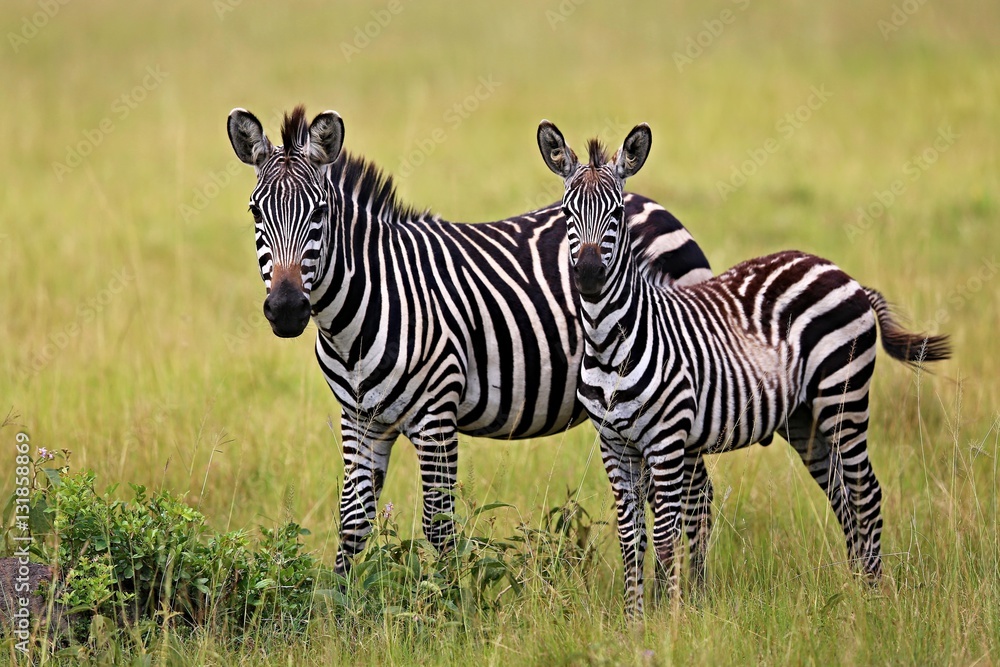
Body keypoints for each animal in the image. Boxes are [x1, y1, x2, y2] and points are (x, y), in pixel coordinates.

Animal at [226, 106, 713, 574]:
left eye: (320, 213)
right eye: (255, 213)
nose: (287, 309)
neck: (360, 315)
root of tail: (651, 203)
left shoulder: (436, 415)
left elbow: (438, 526)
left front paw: (447, 598)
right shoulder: (360, 419)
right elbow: (352, 521)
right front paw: (336, 601)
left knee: (697, 499)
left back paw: (693, 592)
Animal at [536, 119, 951, 616]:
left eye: (617, 212)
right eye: (566, 214)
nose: (589, 275)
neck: (609, 345)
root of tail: (842, 273)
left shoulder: (666, 441)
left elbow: (666, 536)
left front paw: (671, 617)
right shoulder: (614, 444)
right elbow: (629, 538)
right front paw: (634, 619)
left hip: (843, 396)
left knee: (865, 492)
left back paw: (872, 596)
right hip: (804, 417)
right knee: (842, 495)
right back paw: (855, 589)